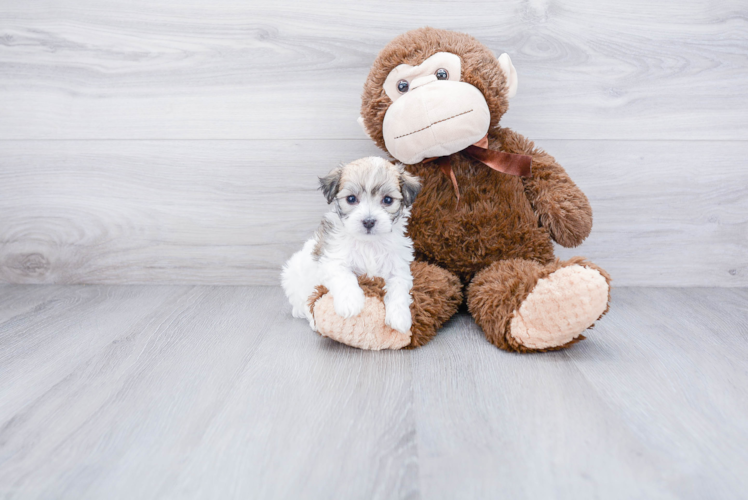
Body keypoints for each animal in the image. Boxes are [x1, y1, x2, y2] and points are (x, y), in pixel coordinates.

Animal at [280, 158, 420, 334]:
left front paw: (400, 317)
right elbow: (345, 277)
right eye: (351, 199)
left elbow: (398, 288)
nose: (368, 221)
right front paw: (350, 303)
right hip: (294, 277)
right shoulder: (333, 259)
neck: (368, 244)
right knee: (305, 301)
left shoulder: (398, 267)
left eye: (387, 200)